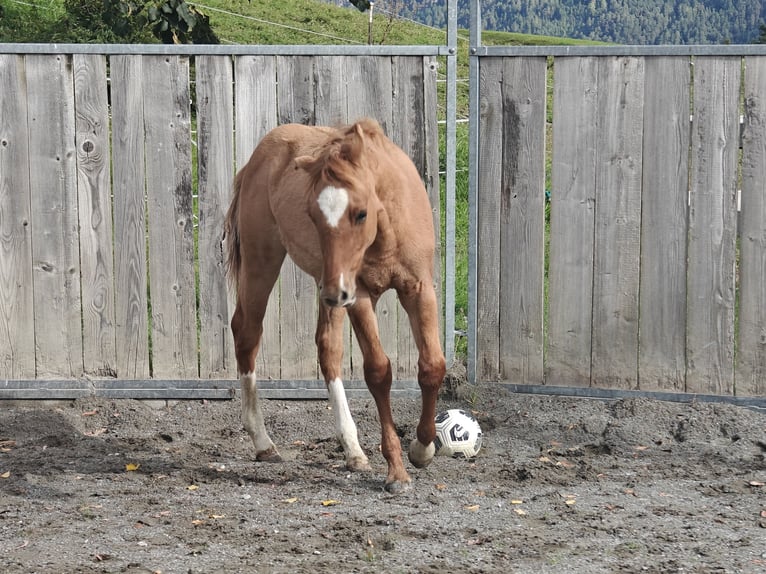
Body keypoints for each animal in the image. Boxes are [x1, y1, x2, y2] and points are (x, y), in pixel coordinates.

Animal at [225, 118, 446, 493]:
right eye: (312, 215)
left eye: (360, 214)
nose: (334, 291)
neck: (386, 230)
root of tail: (256, 158)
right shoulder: (359, 296)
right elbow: (378, 372)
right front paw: (397, 472)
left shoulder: (418, 289)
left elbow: (432, 366)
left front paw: (423, 448)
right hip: (266, 263)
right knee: (246, 333)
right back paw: (264, 443)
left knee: (327, 350)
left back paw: (353, 450)